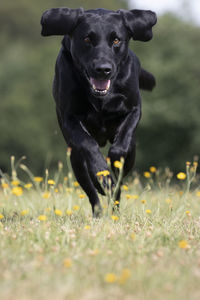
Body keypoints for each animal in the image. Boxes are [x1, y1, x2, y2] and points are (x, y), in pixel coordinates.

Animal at [40, 6, 156, 216]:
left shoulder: (134, 109)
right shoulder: (69, 119)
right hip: (75, 159)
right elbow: (88, 145)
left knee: (119, 184)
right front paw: (101, 175)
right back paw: (99, 206)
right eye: (87, 39)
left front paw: (113, 165)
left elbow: (120, 147)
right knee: (91, 191)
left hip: (132, 152)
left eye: (116, 40)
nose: (103, 69)